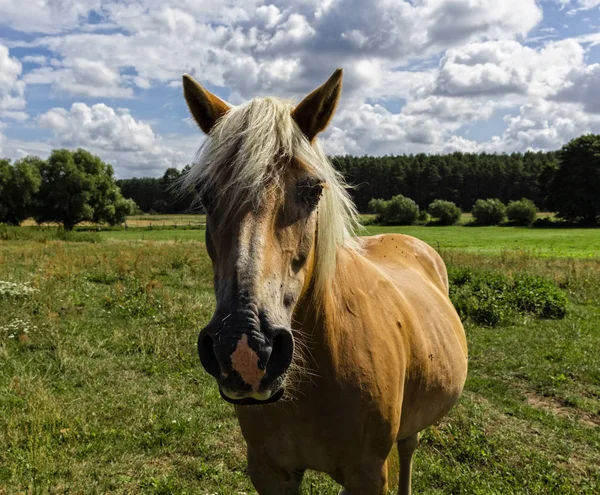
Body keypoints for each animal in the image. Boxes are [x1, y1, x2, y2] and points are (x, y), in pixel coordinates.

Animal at [183, 68, 468, 494]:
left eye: (313, 189)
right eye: (205, 193)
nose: (244, 347)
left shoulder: (368, 476)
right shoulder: (269, 472)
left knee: (409, 448)